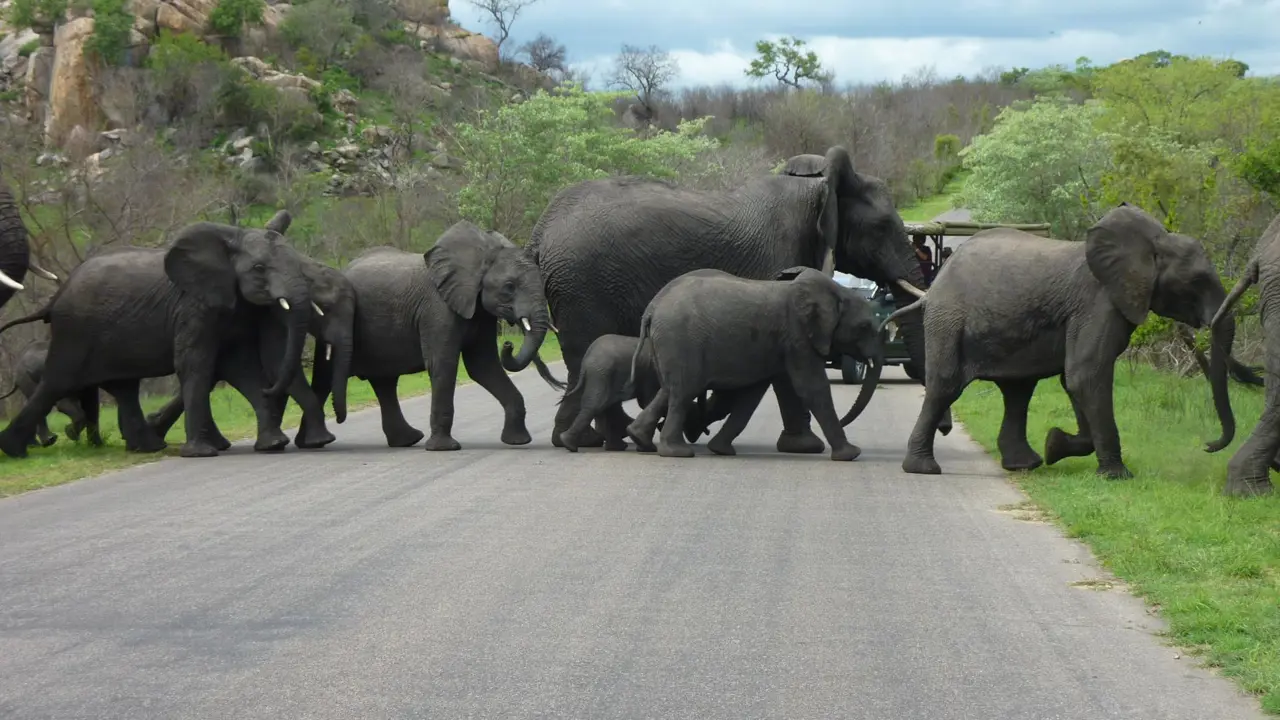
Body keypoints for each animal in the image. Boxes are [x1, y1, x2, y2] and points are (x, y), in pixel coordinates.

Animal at [0, 213, 315, 459]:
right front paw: (201, 453)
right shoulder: (194, 305)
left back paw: (148, 447)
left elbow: (241, 368)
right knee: (57, 381)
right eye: (259, 268)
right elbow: (195, 364)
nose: (273, 390)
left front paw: (273, 444)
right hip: (75, 330)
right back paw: (16, 451)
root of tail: (56, 296)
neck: (230, 239)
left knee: (124, 388)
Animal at [310, 220, 561, 450]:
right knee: (327, 379)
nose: (508, 343)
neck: (479, 255)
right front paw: (444, 448)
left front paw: (518, 441)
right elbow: (444, 363)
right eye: (509, 286)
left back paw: (407, 441)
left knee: (384, 383)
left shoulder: (478, 310)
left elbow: (483, 365)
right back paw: (318, 442)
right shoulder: (437, 309)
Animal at [556, 333, 729, 452]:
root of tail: (586, 359)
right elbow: (647, 401)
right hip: (602, 373)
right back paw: (570, 445)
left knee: (603, 406)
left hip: (602, 374)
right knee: (596, 405)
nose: (702, 433)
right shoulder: (651, 374)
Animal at [624, 267, 886, 460]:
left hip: (671, 343)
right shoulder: (798, 335)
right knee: (684, 391)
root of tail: (652, 308)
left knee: (670, 389)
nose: (845, 421)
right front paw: (851, 454)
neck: (837, 291)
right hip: (681, 339)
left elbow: (752, 396)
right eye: (864, 327)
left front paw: (721, 450)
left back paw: (640, 439)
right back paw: (677, 452)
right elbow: (813, 388)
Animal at [891, 203, 1237, 479]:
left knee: (1018, 392)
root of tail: (932, 288)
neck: (1151, 243)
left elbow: (1074, 379)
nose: (1208, 445)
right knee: (946, 386)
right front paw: (1117, 476)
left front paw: (1054, 445)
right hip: (947, 320)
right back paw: (923, 469)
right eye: (1197, 281)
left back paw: (1025, 464)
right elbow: (1086, 374)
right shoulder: (1099, 302)